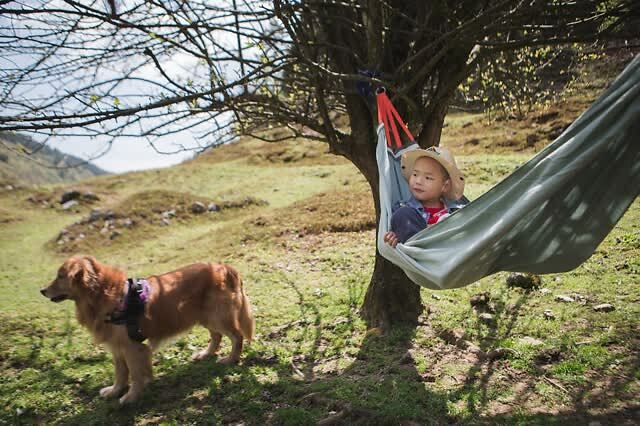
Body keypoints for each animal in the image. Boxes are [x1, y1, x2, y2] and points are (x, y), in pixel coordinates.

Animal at [38, 255, 255, 404]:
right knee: (216, 336)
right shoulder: (117, 347)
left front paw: (131, 396)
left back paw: (231, 359)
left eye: (60, 276)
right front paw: (115, 391)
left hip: (218, 316)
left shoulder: (132, 346)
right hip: (204, 316)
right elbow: (120, 373)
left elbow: (134, 374)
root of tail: (223, 266)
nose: (42, 290)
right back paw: (206, 354)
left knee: (236, 336)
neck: (102, 294)